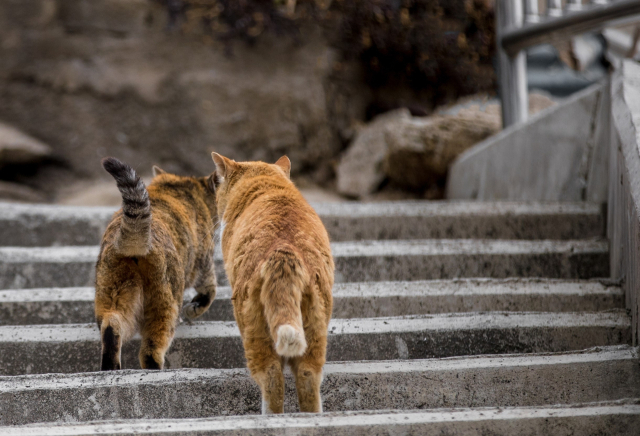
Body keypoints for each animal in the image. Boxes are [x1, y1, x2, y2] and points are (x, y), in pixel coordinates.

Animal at [95, 158, 219, 370]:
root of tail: (134, 237)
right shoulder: (204, 264)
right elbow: (210, 291)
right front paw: (194, 309)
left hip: (114, 292)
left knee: (112, 327)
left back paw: (111, 367)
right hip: (164, 303)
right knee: (151, 349)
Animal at [211, 153, 336, 412]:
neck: (269, 186)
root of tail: (283, 252)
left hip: (254, 329)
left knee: (272, 381)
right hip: (315, 325)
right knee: (308, 379)